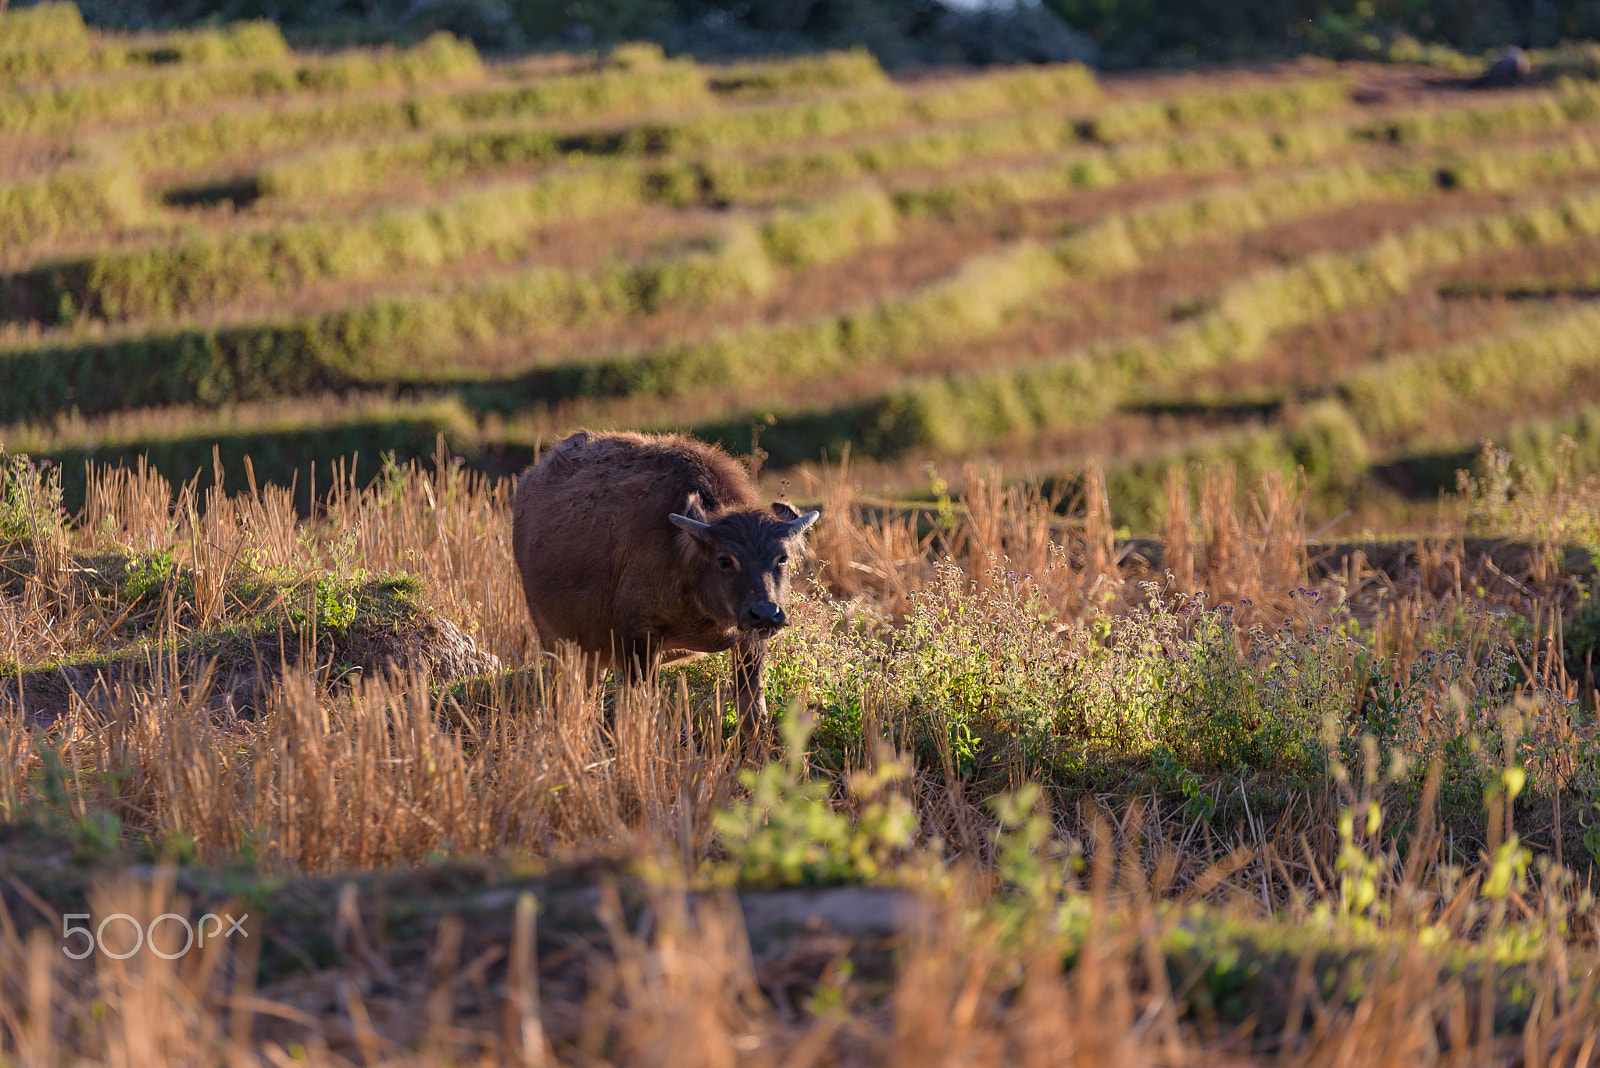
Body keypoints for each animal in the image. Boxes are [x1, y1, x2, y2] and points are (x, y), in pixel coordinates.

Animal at [512, 428, 819, 748]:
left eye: (782, 557)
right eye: (724, 560)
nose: (766, 613)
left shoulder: (750, 643)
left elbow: (753, 711)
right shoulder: (639, 638)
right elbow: (642, 708)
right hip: (556, 639)